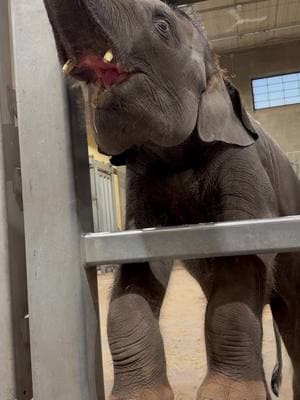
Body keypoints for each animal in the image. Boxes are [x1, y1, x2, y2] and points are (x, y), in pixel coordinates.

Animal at [44, 0, 300, 400]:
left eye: (162, 25)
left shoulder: (243, 160)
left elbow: (242, 255)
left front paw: (226, 395)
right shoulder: (141, 180)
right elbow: (136, 264)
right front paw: (137, 395)